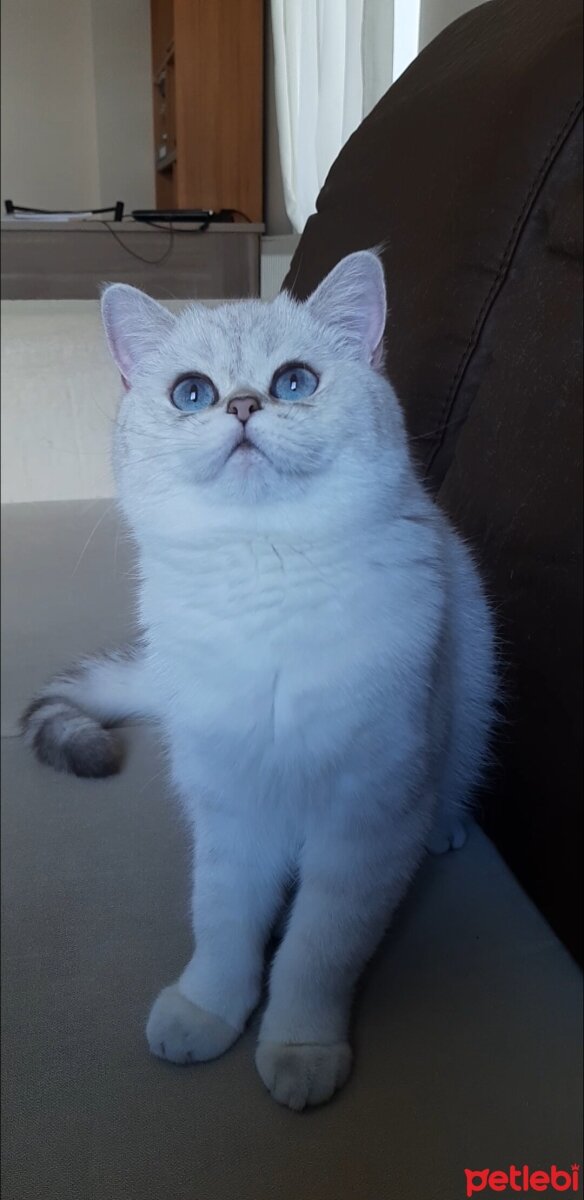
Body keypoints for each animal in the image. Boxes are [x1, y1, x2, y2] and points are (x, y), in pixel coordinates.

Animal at [23, 253, 498, 1113]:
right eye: (192, 394)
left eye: (294, 382)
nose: (243, 404)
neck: (263, 572)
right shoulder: (229, 803)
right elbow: (222, 921)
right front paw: (206, 1012)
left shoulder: (366, 818)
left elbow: (317, 949)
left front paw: (299, 1049)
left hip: (471, 694)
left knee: (452, 783)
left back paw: (445, 828)